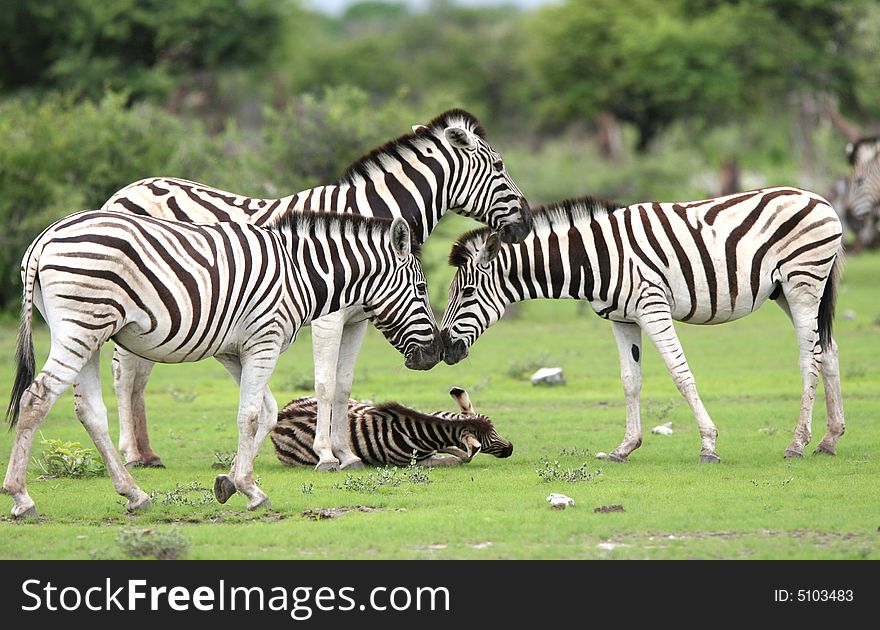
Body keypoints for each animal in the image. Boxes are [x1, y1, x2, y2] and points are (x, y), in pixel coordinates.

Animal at [0, 212, 440, 520]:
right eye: (421, 289)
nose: (435, 354)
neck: (300, 273)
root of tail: (44, 239)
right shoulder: (263, 341)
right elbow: (250, 415)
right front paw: (251, 489)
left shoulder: (233, 351)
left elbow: (268, 412)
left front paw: (229, 482)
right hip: (82, 326)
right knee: (36, 398)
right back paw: (21, 497)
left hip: (87, 334)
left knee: (90, 412)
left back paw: (134, 494)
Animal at [272, 386, 512, 470]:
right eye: (490, 440)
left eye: (496, 430)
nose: (510, 448)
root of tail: (282, 414)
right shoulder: (415, 462)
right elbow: (456, 460)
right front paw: (461, 456)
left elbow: (456, 452)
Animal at [440, 188, 844, 464]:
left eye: (467, 292)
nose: (444, 349)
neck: (592, 258)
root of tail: (819, 199)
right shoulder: (622, 318)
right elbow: (630, 380)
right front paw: (624, 447)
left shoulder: (653, 307)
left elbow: (680, 373)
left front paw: (708, 444)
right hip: (785, 292)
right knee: (828, 351)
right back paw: (829, 440)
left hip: (802, 283)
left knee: (809, 358)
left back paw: (797, 443)